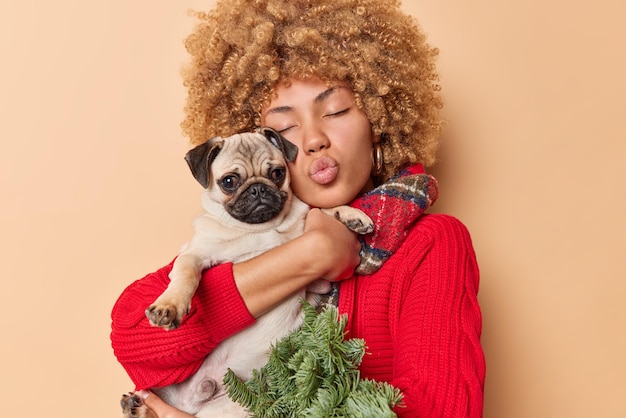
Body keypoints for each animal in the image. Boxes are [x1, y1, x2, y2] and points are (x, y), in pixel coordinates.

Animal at [123, 127, 370, 418]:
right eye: (229, 181)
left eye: (277, 173)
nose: (258, 189)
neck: (259, 229)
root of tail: (191, 402)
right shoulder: (194, 254)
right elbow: (186, 274)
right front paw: (170, 305)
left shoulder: (318, 279)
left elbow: (320, 209)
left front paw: (350, 214)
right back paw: (135, 407)